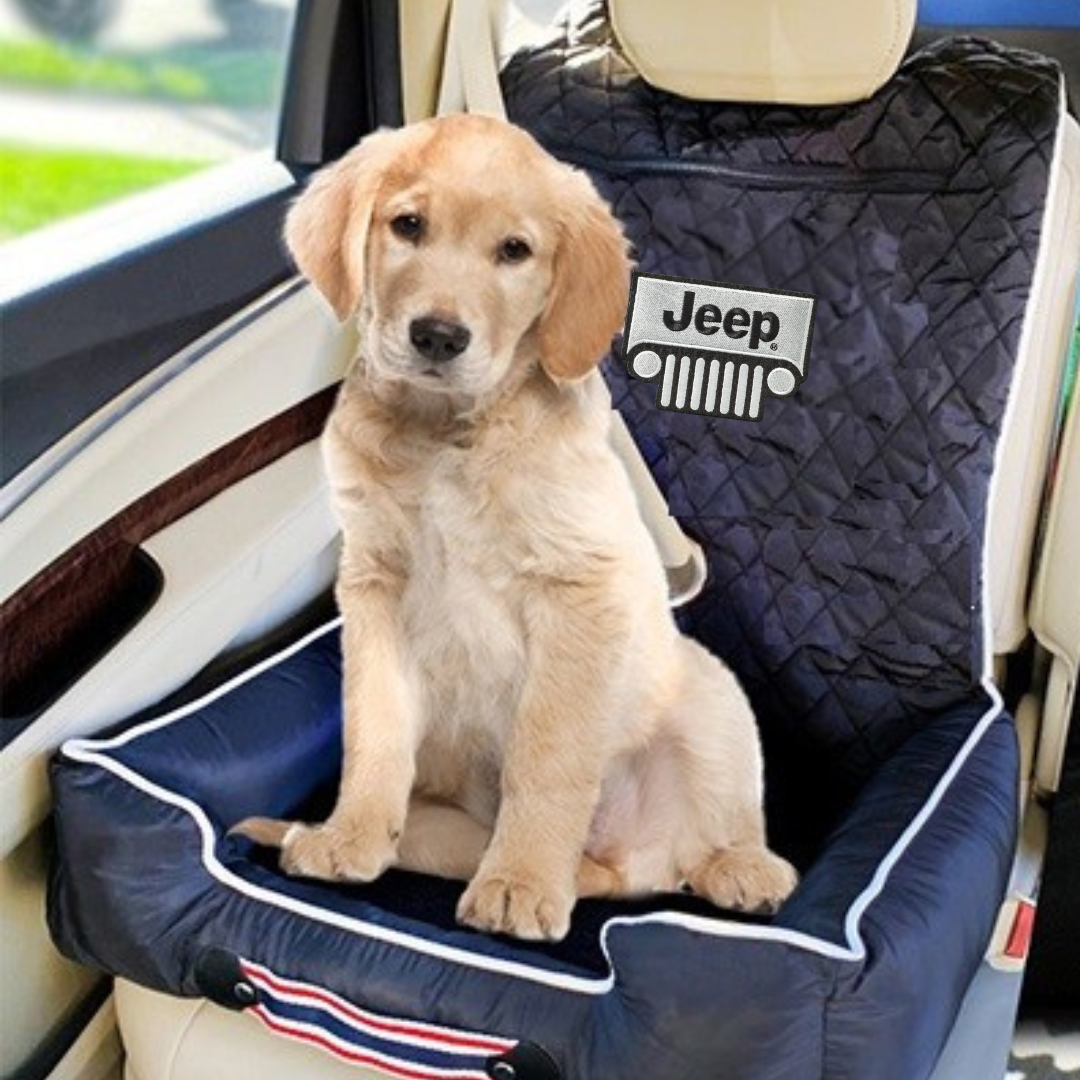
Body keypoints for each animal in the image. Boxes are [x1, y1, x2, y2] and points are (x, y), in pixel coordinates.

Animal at [240, 113, 799, 941]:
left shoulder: (576, 590)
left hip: (711, 698)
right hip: (443, 822)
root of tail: (621, 863)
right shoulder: (374, 585)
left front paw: (521, 882)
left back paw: (742, 869)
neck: (445, 435)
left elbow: (548, 754)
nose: (439, 336)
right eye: (407, 226)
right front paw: (349, 837)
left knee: (707, 844)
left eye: (514, 251)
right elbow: (373, 723)